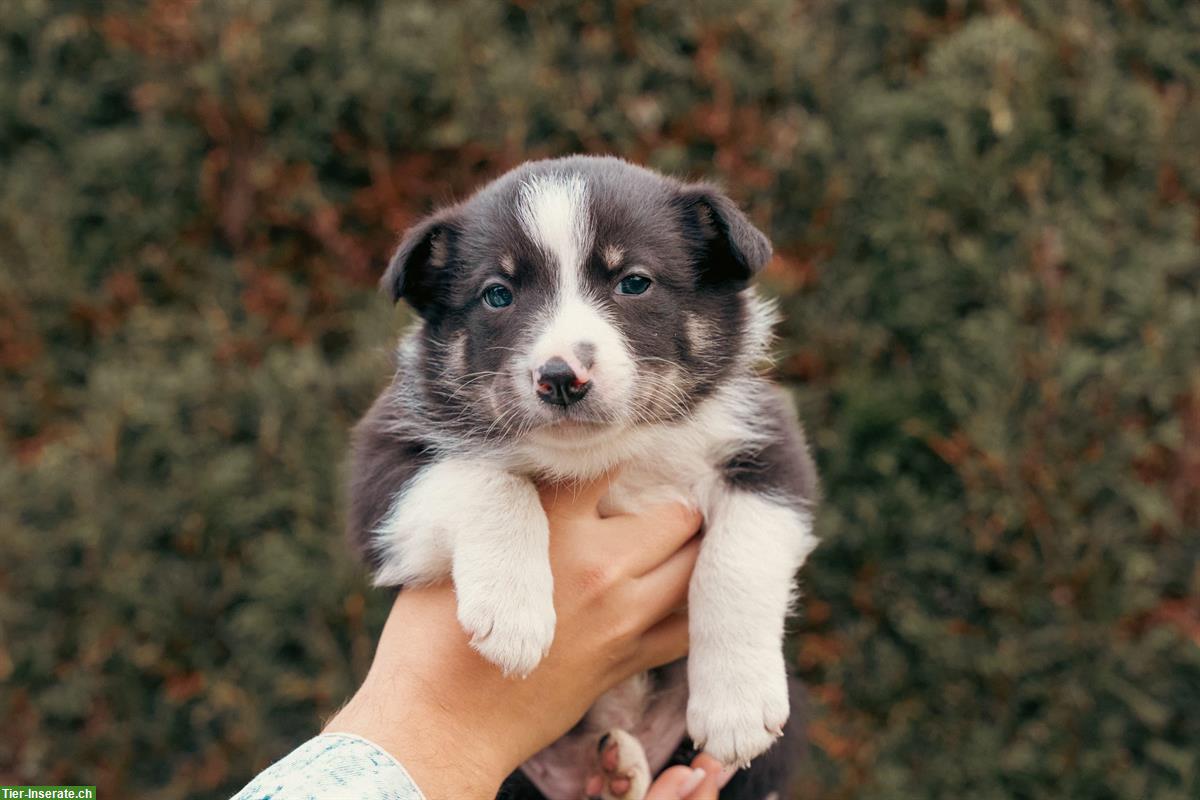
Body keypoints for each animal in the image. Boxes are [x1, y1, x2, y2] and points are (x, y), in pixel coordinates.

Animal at [345, 155, 816, 800]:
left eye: (634, 282)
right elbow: (491, 482)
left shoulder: (769, 446)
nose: (561, 377)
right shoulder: (383, 466)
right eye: (498, 294)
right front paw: (514, 615)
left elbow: (737, 559)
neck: (598, 455)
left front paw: (737, 707)